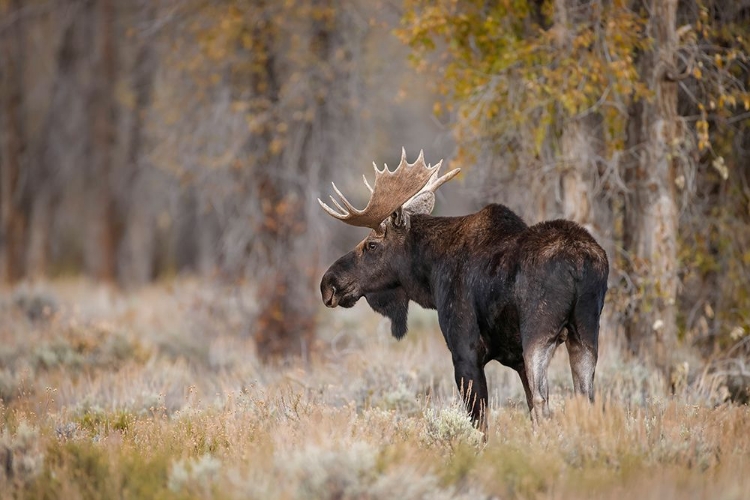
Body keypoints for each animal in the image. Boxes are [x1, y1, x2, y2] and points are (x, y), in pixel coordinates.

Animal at [318, 148, 612, 430]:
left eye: (371, 245)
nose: (328, 284)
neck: (430, 274)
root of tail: (580, 264)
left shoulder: (465, 352)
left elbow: (481, 424)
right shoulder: (516, 359)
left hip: (538, 334)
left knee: (544, 402)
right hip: (585, 333)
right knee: (585, 398)